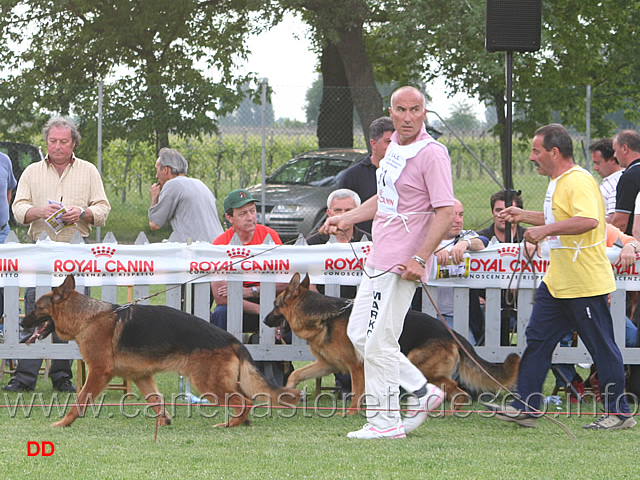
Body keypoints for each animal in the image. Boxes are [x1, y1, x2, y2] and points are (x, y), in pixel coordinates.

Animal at [20, 276, 300, 430]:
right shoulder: (142, 377)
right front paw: (164, 421)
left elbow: (79, 401)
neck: (89, 317)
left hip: (208, 384)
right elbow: (156, 400)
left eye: (37, 307)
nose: (22, 323)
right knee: (246, 400)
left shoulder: (99, 372)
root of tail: (233, 340)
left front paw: (63, 423)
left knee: (245, 401)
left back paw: (230, 424)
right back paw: (240, 422)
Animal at [264, 274, 520, 412]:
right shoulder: (327, 365)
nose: (265, 320)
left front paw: (350, 413)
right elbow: (295, 375)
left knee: (457, 390)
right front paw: (288, 394)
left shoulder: (356, 367)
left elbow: (357, 392)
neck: (325, 316)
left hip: (422, 367)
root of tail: (451, 333)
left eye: (275, 305)